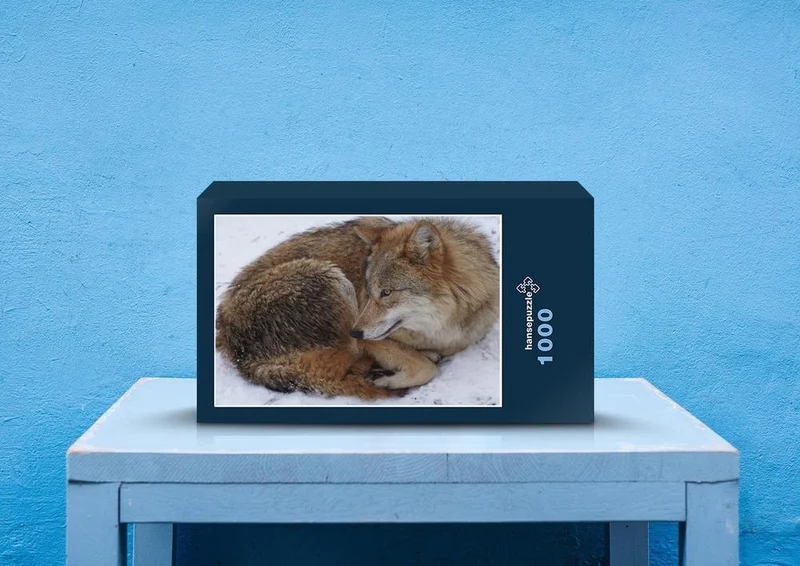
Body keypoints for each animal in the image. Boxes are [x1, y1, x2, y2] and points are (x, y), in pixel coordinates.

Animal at [215, 216, 499, 400]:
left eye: (386, 293)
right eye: (370, 291)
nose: (355, 331)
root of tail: (232, 347)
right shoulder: (371, 340)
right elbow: (425, 369)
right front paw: (390, 379)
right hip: (330, 276)